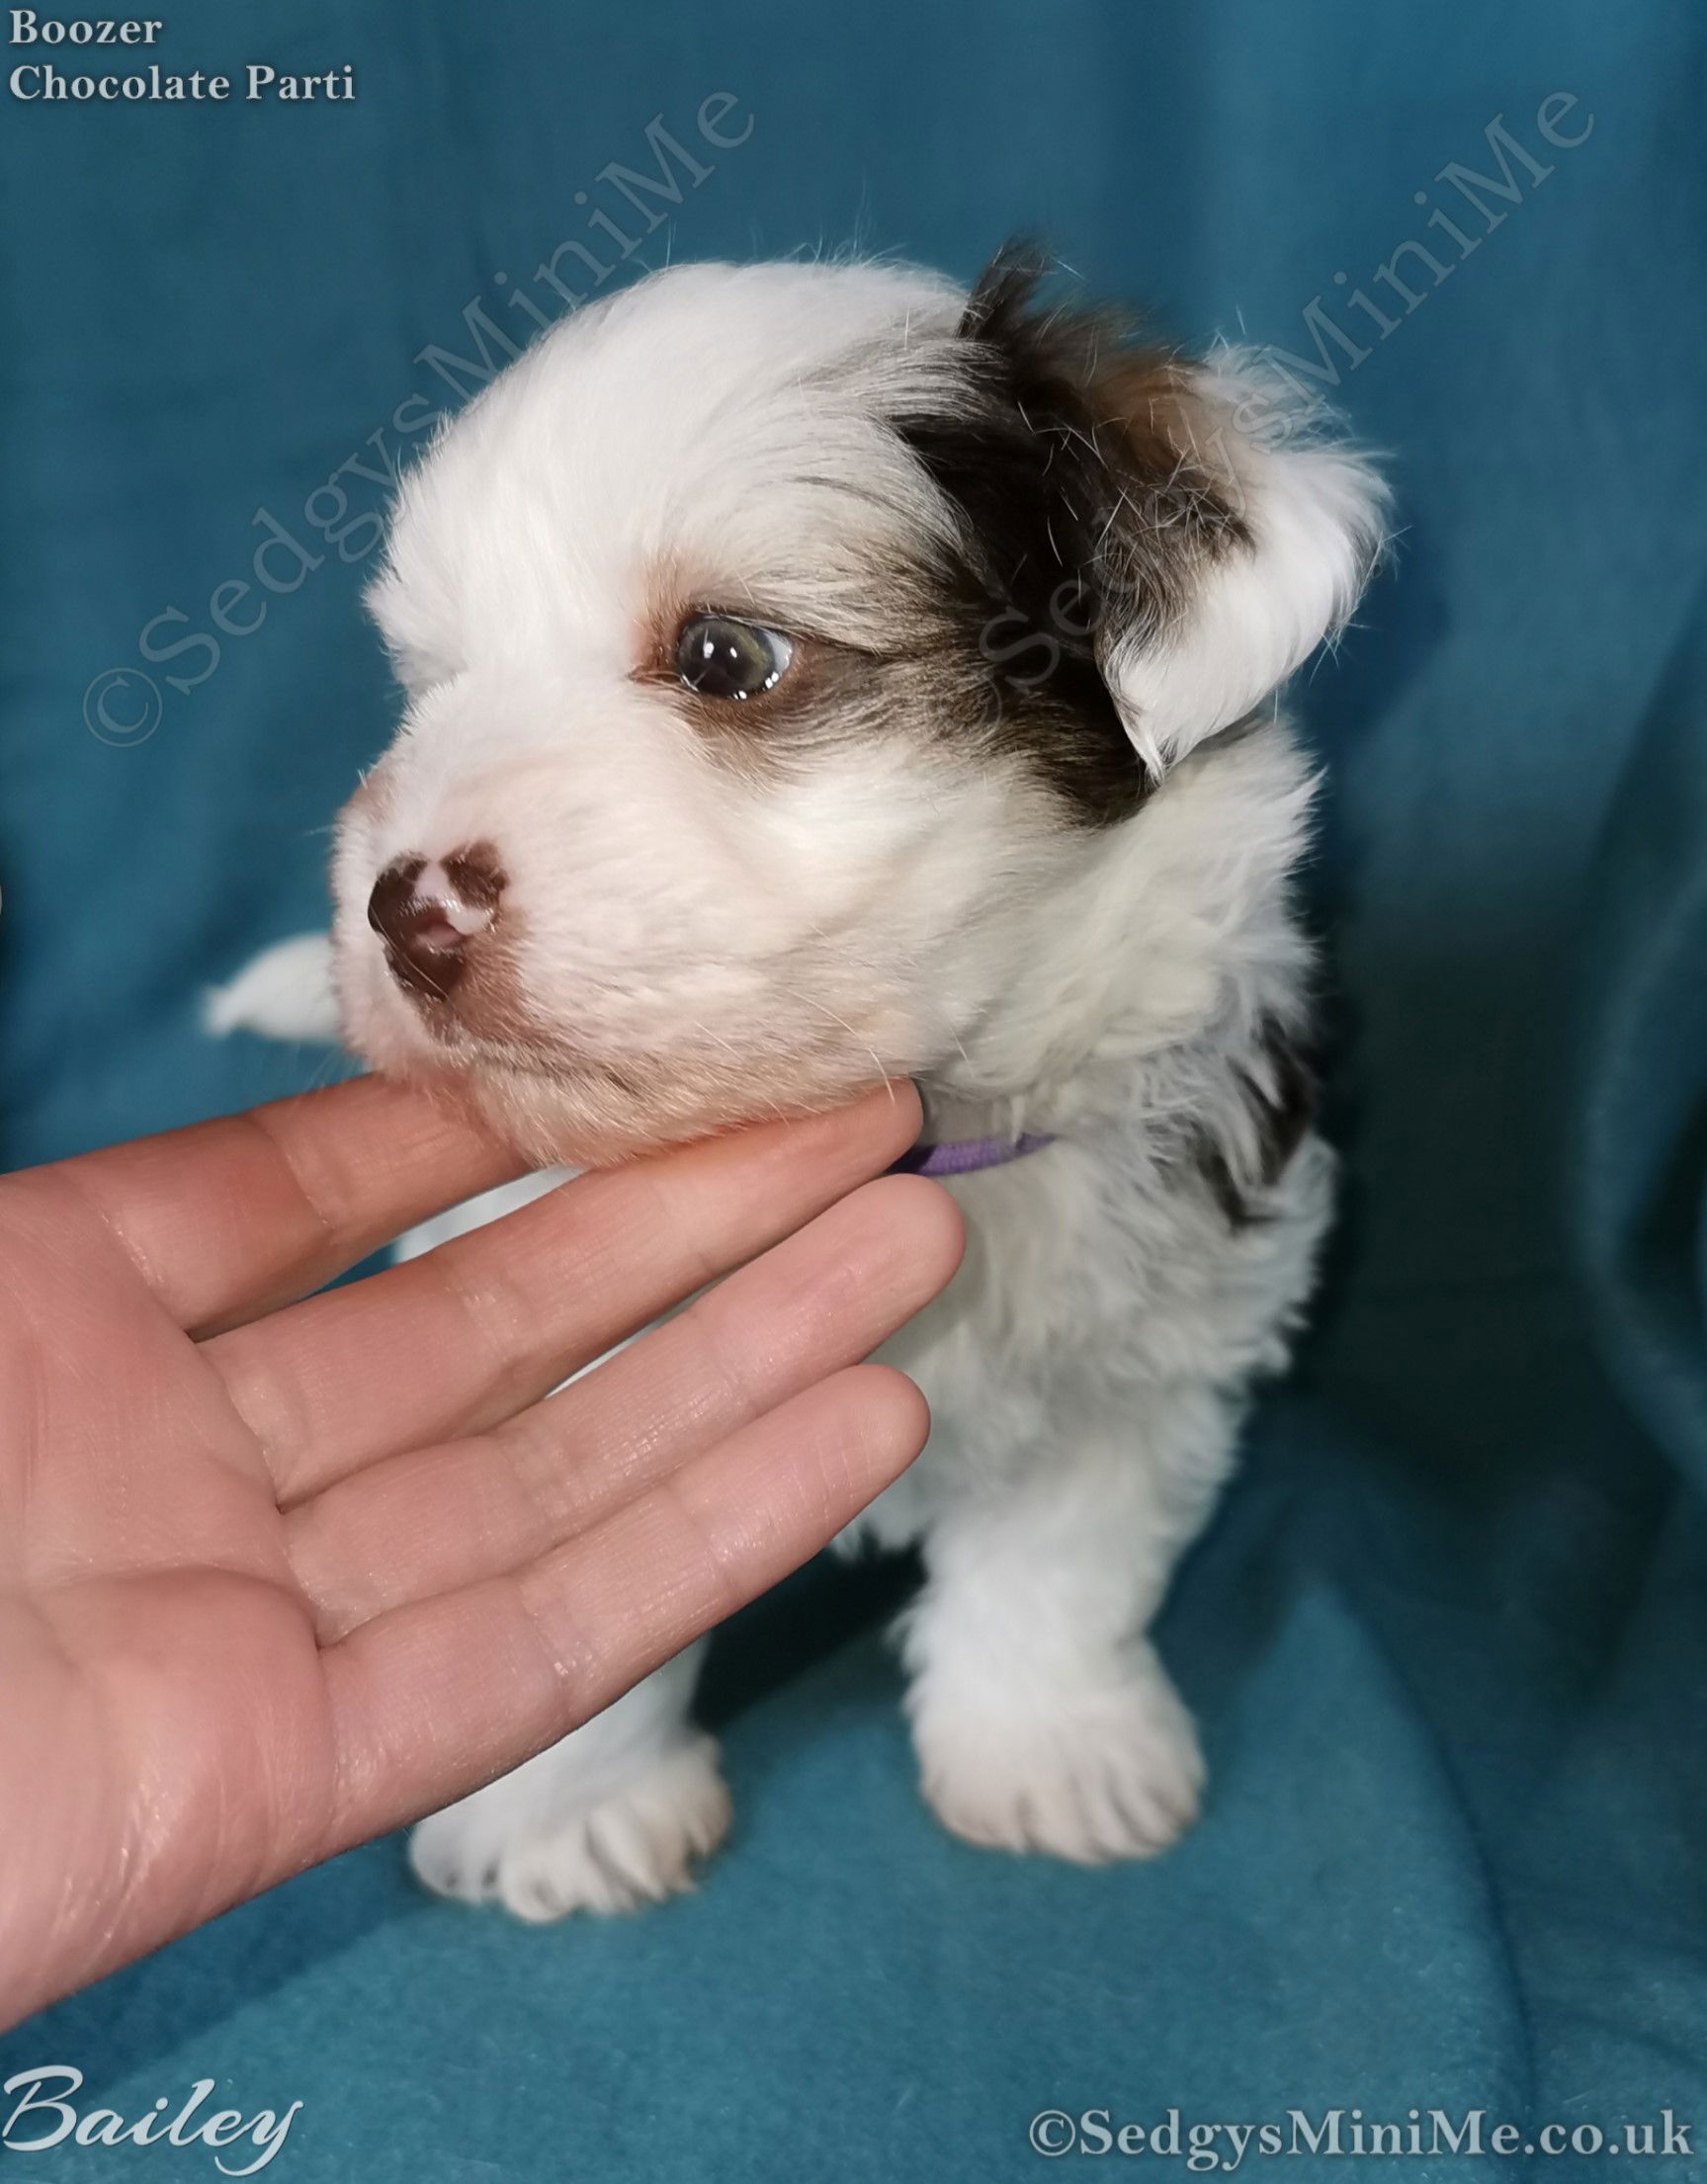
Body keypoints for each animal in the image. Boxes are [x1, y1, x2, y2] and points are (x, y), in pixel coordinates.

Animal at [215, 251, 1381, 1912]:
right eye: (428, 688)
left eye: (727, 657)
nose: (399, 907)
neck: (929, 1132)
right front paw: (568, 1809)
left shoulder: (1150, 1334)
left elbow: (1062, 1557)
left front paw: (1046, 1744)